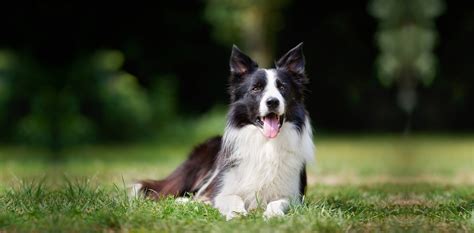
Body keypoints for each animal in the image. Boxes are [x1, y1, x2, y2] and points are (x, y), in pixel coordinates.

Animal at [131, 43, 314, 220]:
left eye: (282, 87)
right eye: (256, 88)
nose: (272, 102)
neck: (266, 144)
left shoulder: (294, 196)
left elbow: (278, 202)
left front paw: (273, 214)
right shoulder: (223, 187)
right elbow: (233, 198)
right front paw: (237, 214)